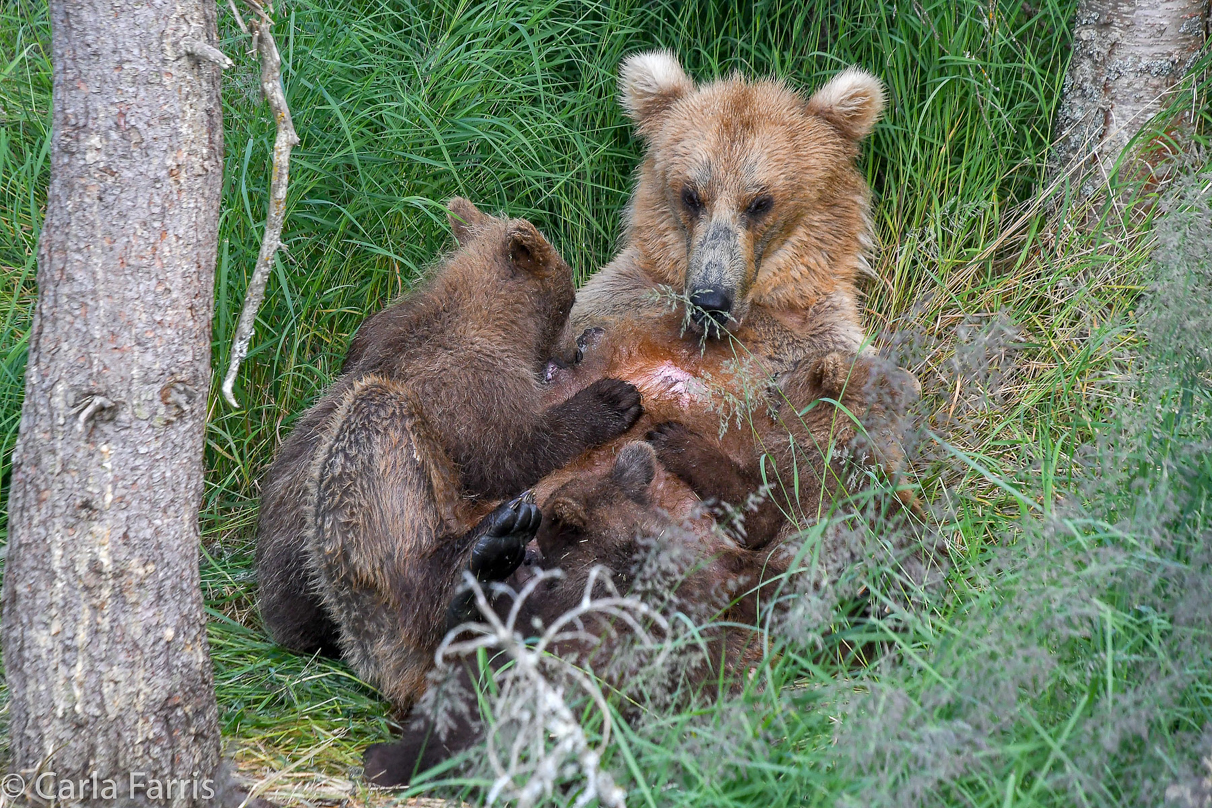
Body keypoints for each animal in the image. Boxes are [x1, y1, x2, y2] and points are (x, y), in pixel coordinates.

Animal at [255, 198, 644, 712]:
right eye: (568, 302)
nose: (576, 352)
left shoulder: (377, 330)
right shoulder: (467, 388)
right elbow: (512, 453)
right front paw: (612, 401)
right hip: (338, 555)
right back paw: (475, 564)